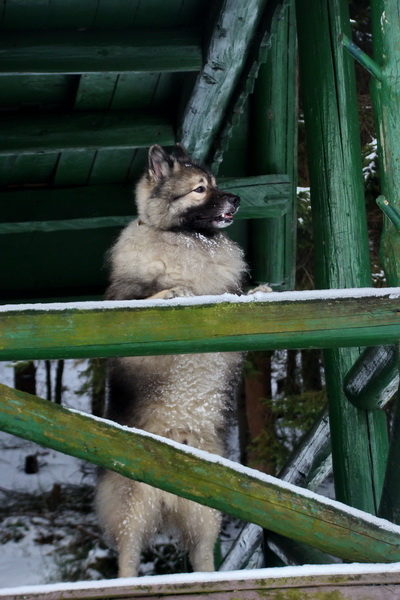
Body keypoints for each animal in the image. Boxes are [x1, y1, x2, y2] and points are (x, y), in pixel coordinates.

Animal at [95, 144, 268, 576]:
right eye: (200, 189)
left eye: (217, 184)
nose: (236, 199)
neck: (186, 241)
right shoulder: (120, 309)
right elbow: (151, 295)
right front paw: (172, 291)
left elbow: (237, 296)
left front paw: (260, 291)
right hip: (133, 507)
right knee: (128, 556)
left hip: (206, 512)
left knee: (202, 554)